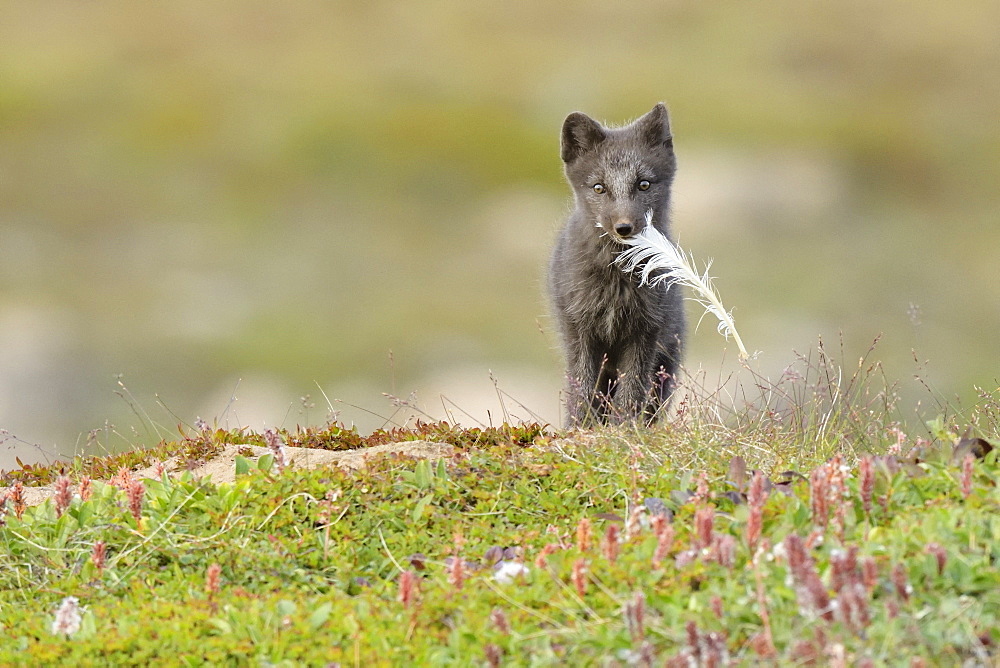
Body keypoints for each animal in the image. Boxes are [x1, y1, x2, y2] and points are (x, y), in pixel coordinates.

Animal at [548, 104, 688, 428]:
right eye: (599, 188)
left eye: (644, 184)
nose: (624, 228)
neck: (616, 281)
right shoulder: (579, 328)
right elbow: (582, 386)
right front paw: (580, 429)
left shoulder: (646, 330)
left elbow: (632, 389)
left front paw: (625, 430)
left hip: (667, 363)